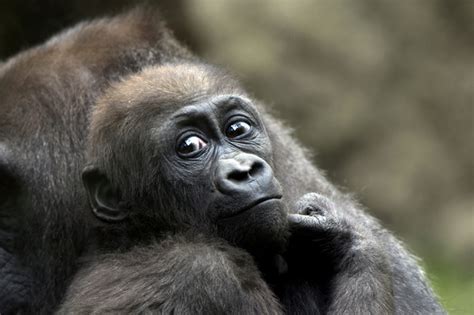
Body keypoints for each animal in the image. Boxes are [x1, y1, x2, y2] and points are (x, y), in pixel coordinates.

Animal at [58, 63, 392, 314]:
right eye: (190, 146)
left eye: (237, 129)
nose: (244, 170)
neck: (146, 234)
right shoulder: (205, 274)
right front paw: (348, 236)